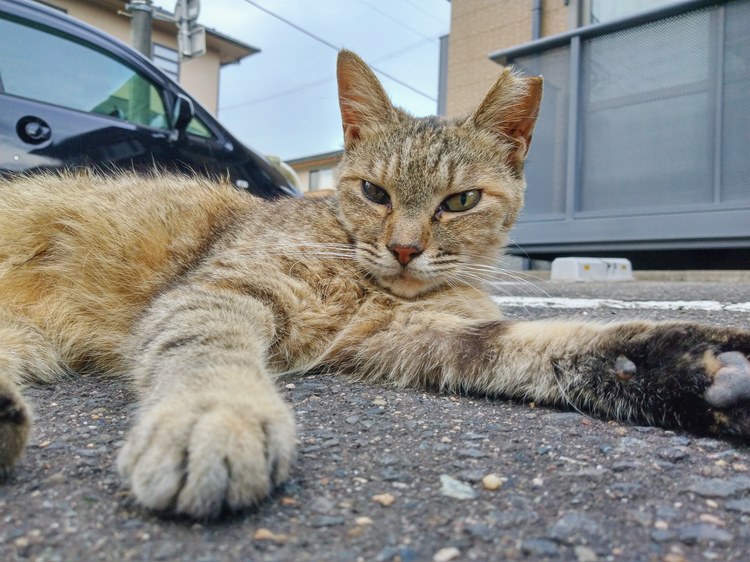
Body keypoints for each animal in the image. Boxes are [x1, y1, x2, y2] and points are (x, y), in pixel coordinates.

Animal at [1, 51, 750, 516]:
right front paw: (214, 415)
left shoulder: (413, 337)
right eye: (373, 192)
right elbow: (206, 351)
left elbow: (558, 345)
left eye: (460, 202)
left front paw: (711, 371)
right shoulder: (218, 292)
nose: (405, 248)